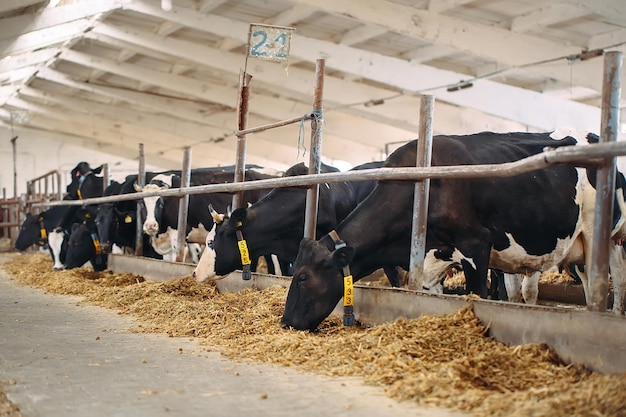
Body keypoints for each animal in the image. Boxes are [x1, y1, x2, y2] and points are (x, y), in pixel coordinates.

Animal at [280, 128, 624, 330]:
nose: (285, 322)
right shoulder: (432, 261)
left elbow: (479, 296)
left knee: (613, 281)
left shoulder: (476, 246)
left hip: (605, 236)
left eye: (303, 277)